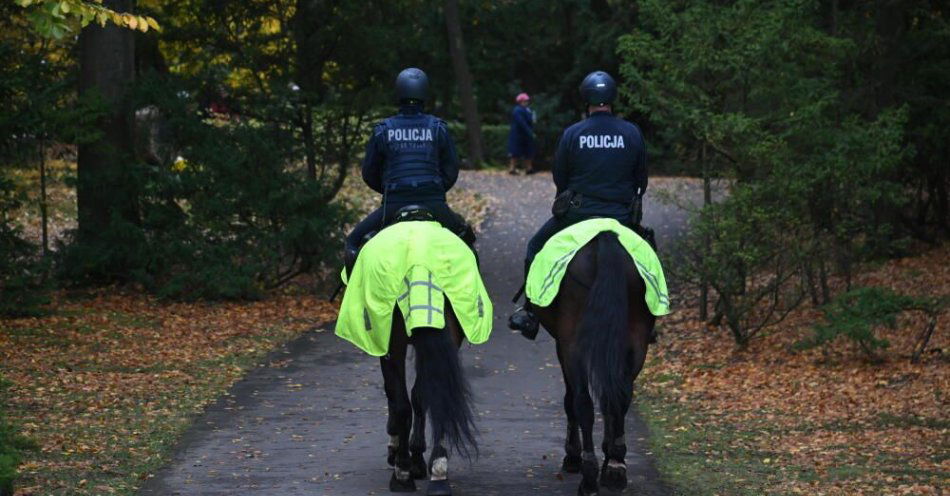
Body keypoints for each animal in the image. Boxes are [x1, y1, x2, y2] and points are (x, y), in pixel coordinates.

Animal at [384, 300, 480, 494]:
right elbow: (419, 398)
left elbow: (395, 396)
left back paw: (402, 472)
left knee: (402, 403)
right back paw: (438, 470)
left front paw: (398, 451)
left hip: (396, 338)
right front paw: (417, 459)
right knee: (439, 398)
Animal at [536, 232, 656, 496]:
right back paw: (615, 467)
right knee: (619, 397)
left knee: (583, 403)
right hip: (635, 344)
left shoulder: (563, 346)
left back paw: (588, 475)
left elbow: (571, 399)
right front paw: (609, 460)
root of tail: (605, 239)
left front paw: (573, 456)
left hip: (573, 346)